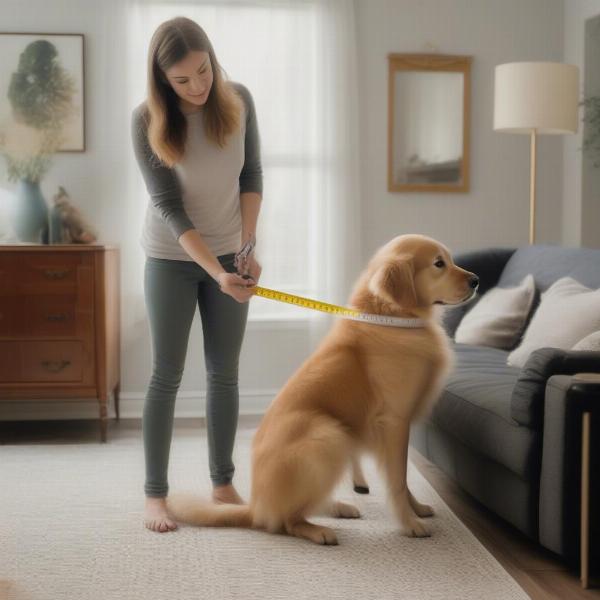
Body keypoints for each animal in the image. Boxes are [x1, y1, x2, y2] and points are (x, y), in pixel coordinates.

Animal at [168, 234, 478, 544]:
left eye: (450, 259)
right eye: (438, 263)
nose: (476, 280)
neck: (391, 318)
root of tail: (256, 507)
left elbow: (402, 479)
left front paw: (417, 508)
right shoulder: (394, 422)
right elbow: (398, 480)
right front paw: (409, 523)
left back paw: (337, 507)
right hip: (328, 434)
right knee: (287, 520)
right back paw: (318, 530)